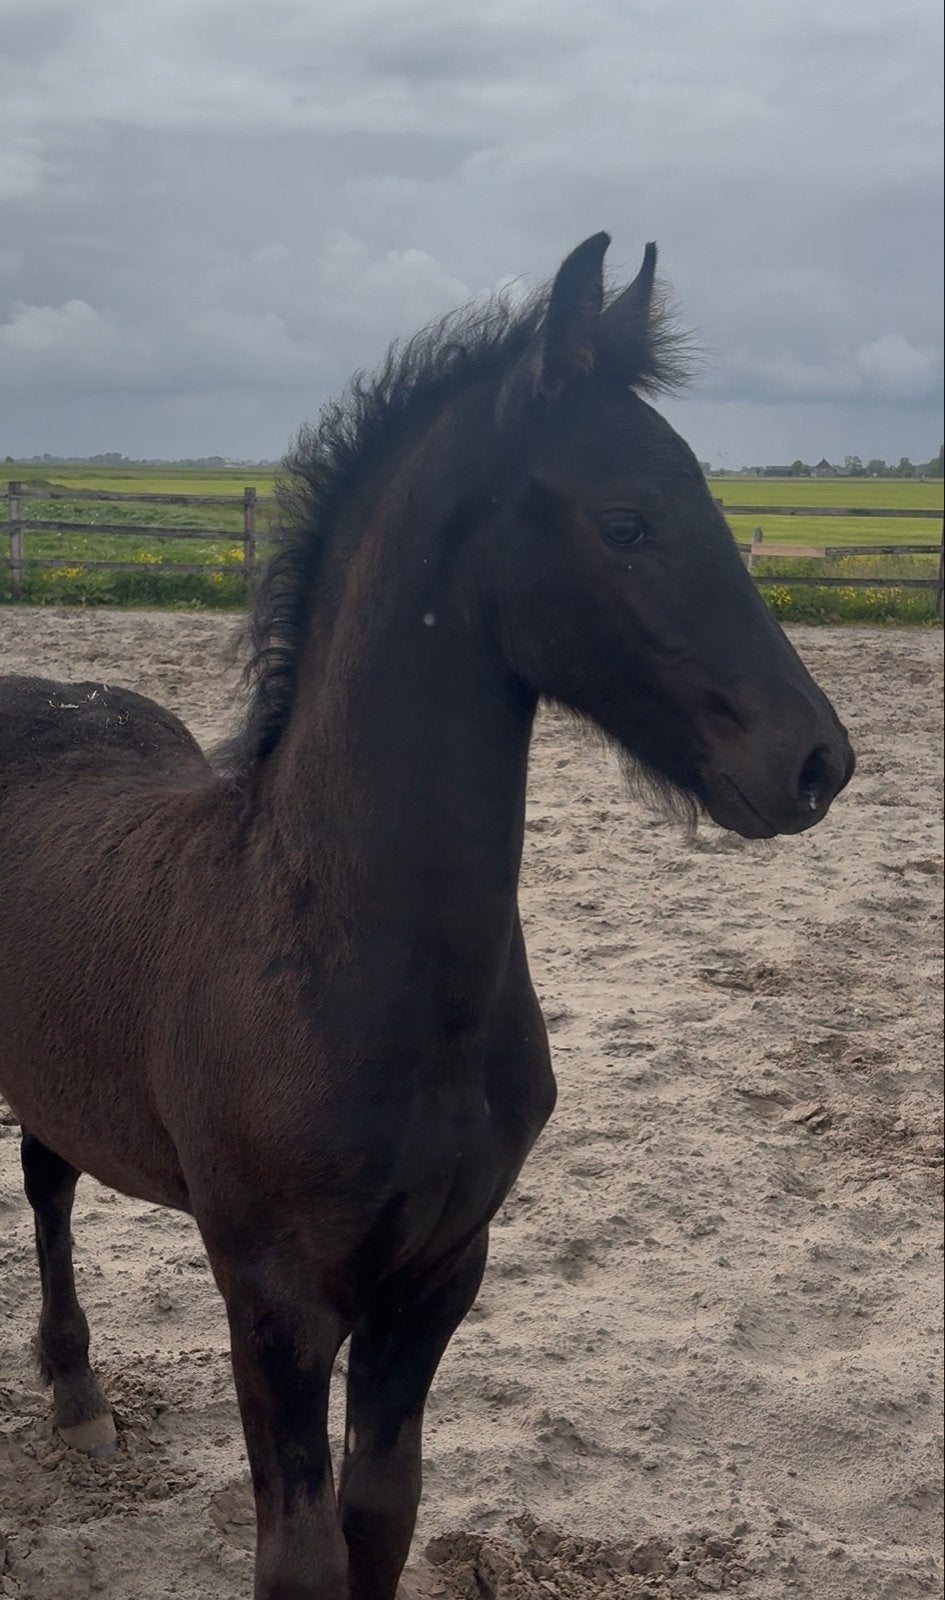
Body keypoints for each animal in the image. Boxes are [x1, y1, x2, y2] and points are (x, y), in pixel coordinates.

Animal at [0, 232, 854, 1600]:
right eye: (626, 519)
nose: (817, 760)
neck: (349, 959)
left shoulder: (441, 1272)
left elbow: (382, 1517)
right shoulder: (276, 1295)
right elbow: (300, 1555)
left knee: (47, 1174)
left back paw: (77, 1397)